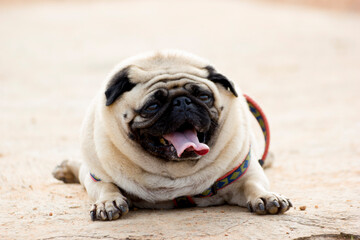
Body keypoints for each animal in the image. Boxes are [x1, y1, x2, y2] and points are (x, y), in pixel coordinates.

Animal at [52, 49, 292, 220]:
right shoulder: (99, 175)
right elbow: (106, 186)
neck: (176, 173)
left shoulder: (244, 172)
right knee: (81, 169)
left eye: (204, 96)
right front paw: (108, 202)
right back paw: (66, 170)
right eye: (152, 106)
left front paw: (266, 197)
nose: (182, 102)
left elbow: (254, 184)